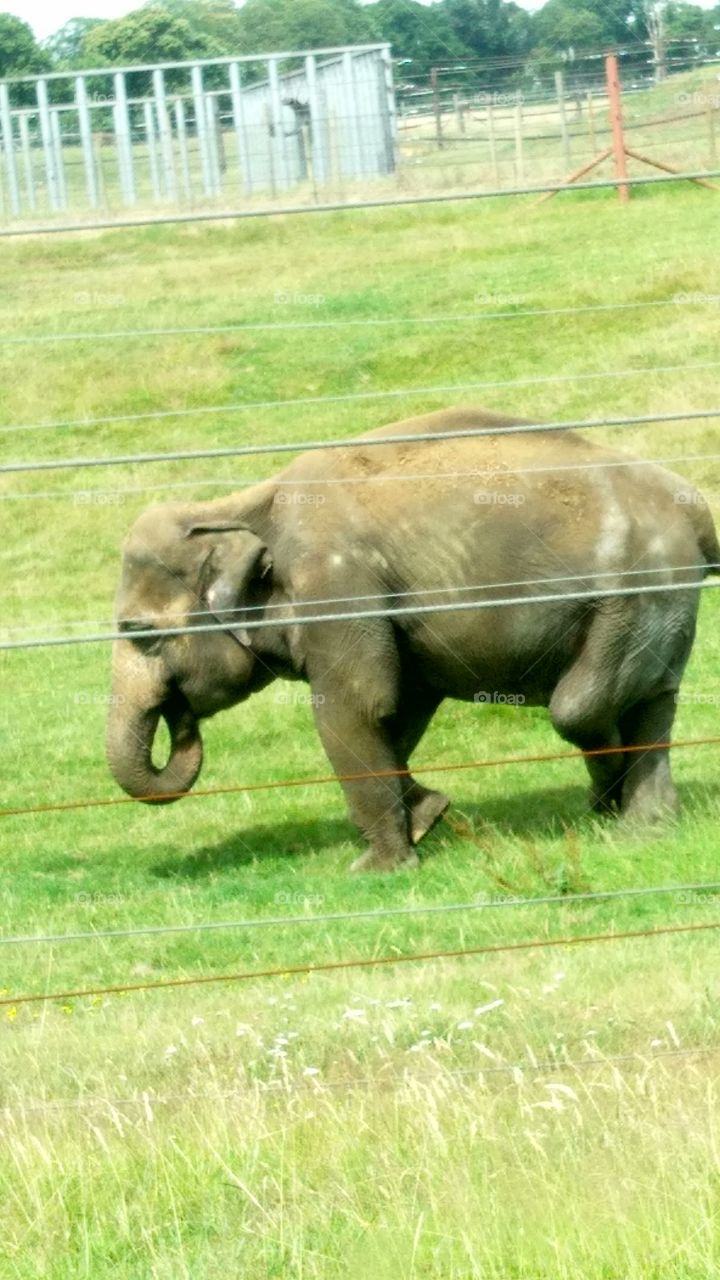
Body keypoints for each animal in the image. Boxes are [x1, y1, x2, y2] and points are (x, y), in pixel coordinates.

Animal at [106, 406, 720, 871]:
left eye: (141, 635)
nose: (181, 719)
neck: (234, 505)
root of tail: (693, 504)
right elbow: (398, 710)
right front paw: (429, 815)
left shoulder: (338, 583)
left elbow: (356, 706)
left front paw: (377, 869)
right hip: (657, 601)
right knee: (650, 697)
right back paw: (643, 823)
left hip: (639, 590)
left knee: (580, 706)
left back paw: (614, 800)